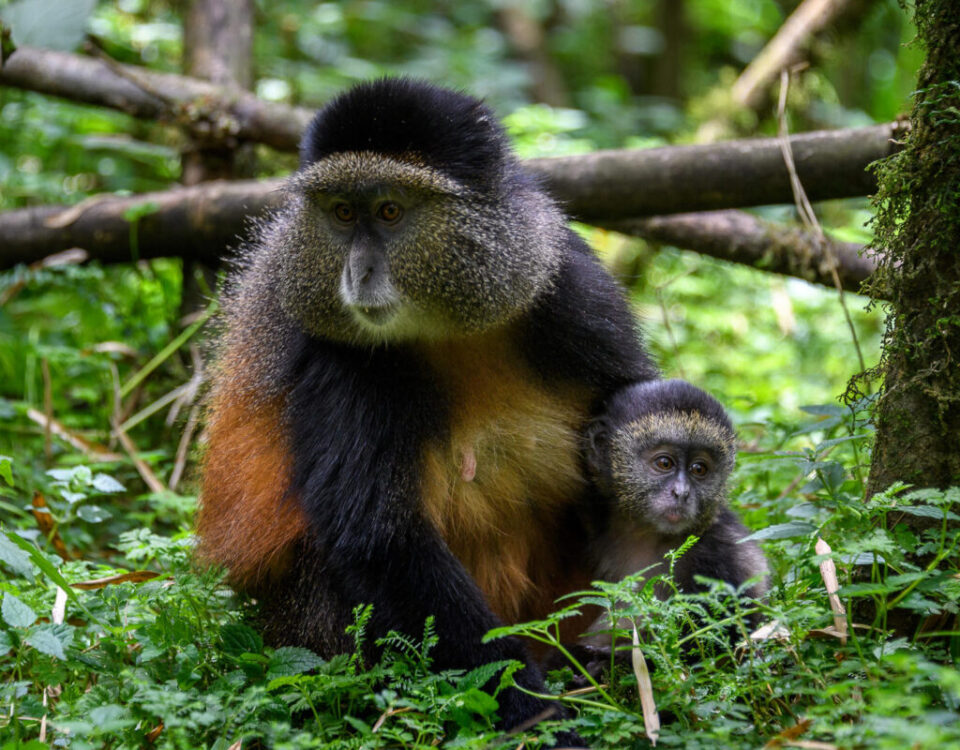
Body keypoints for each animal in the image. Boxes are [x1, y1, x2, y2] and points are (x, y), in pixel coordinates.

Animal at [195, 78, 658, 739]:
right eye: (342, 213)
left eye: (390, 211)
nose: (358, 273)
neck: (447, 324)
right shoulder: (342, 358)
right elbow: (379, 539)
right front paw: (537, 717)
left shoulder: (569, 287)